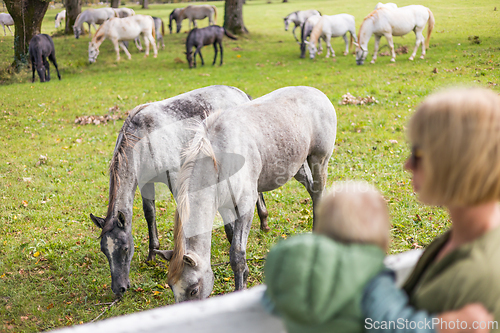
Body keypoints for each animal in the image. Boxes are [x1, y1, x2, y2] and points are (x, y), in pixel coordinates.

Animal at [89, 85, 270, 296]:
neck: (145, 138)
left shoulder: (176, 177)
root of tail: (240, 93)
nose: (119, 288)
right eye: (104, 250)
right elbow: (149, 213)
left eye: (125, 248)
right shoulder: (145, 183)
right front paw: (152, 253)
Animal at [154, 85, 338, 300]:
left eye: (193, 290)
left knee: (318, 194)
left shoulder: (245, 207)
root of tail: (317, 93)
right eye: (172, 288)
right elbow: (231, 237)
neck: (218, 159)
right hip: (297, 167)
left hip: (319, 161)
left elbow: (237, 254)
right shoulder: (224, 207)